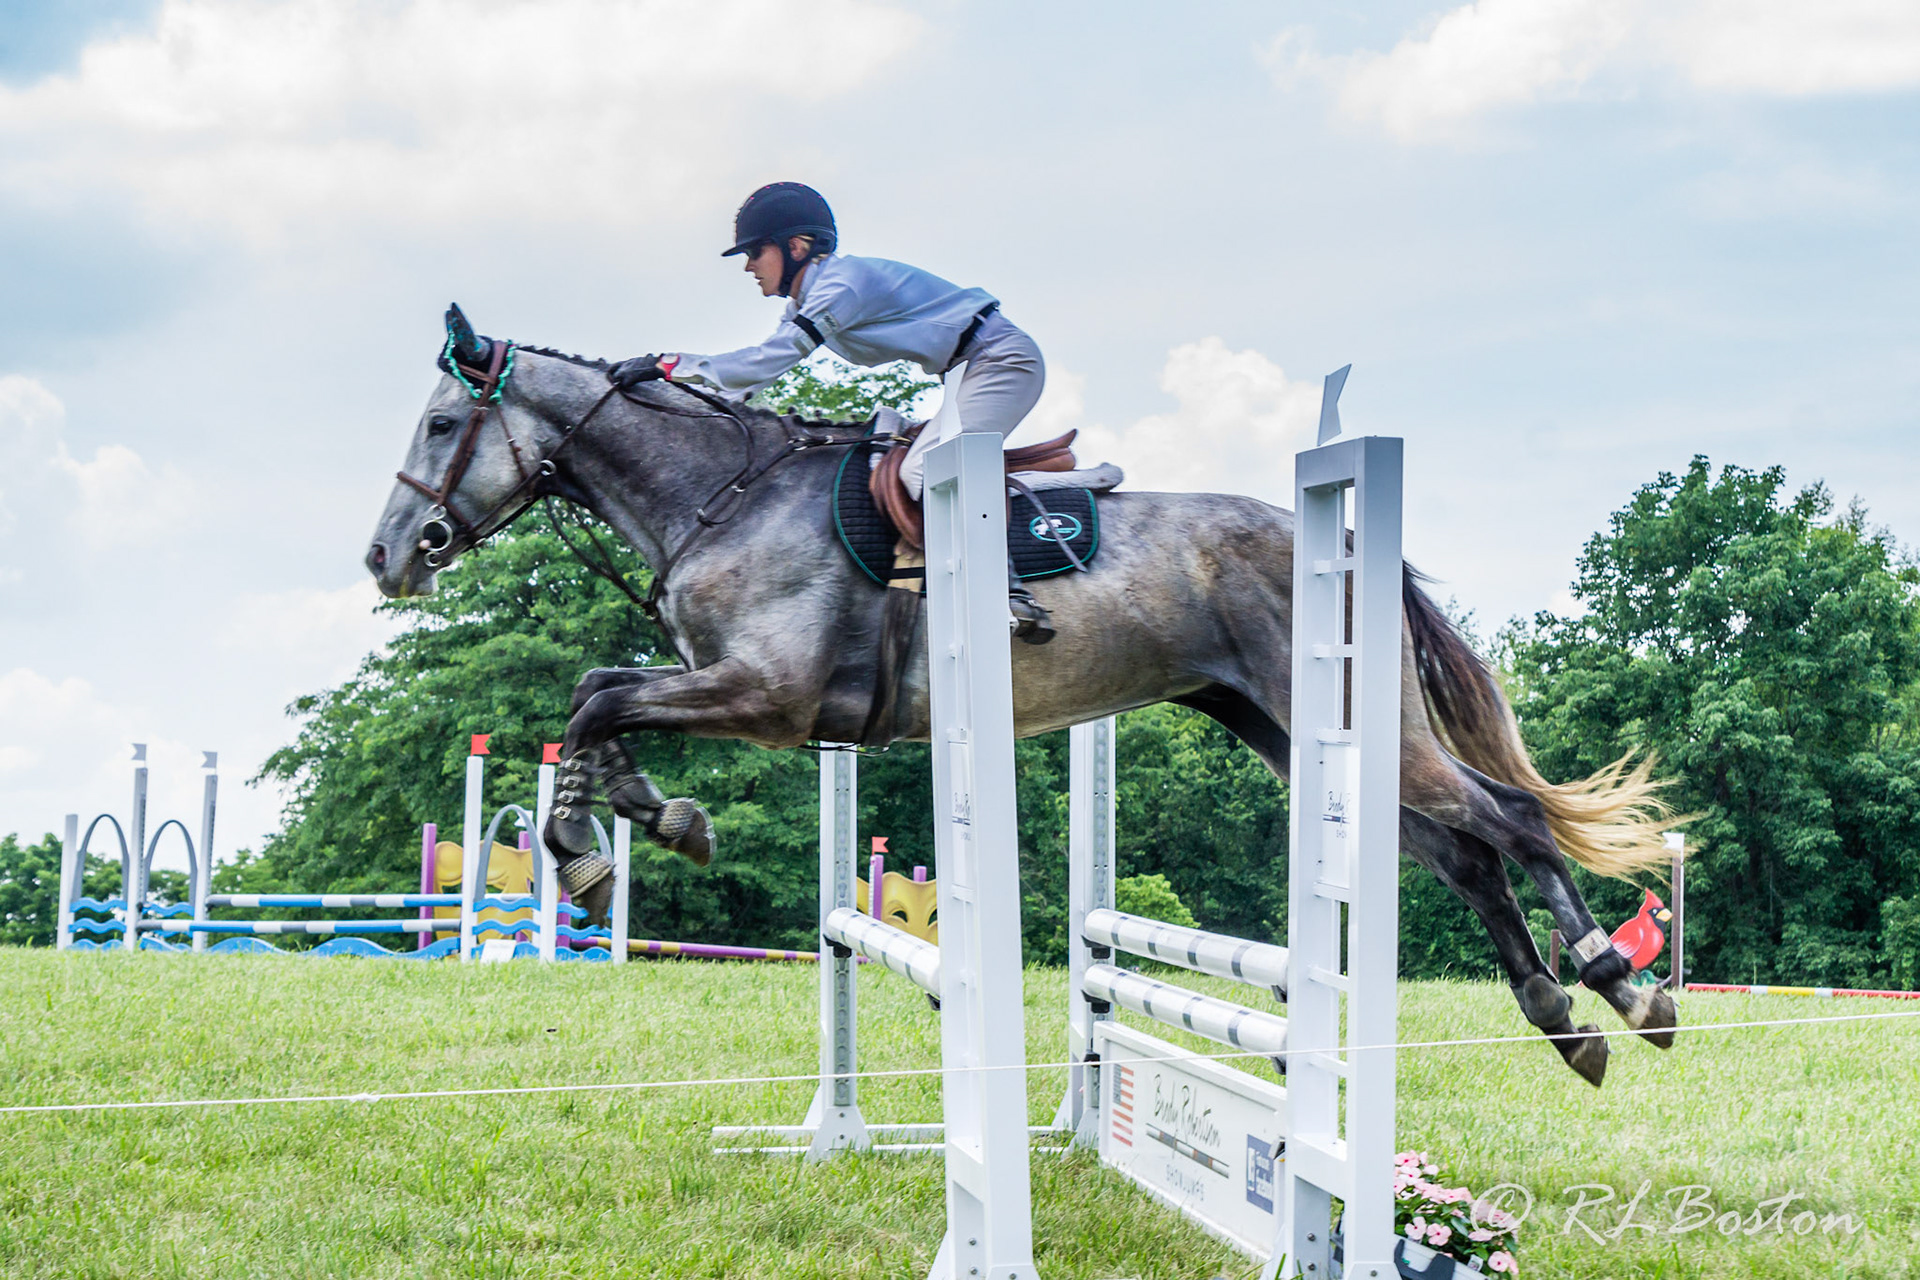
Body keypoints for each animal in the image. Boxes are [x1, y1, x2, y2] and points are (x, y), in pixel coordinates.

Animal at [365, 308, 1678, 1086]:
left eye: (441, 420)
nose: (386, 557)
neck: (723, 494)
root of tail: (1345, 537)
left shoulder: (772, 695)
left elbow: (599, 700)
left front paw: (599, 844)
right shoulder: (732, 687)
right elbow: (598, 693)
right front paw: (637, 821)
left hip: (1362, 729)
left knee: (1508, 818)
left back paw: (1621, 983)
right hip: (1290, 729)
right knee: (1464, 852)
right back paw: (1564, 1014)